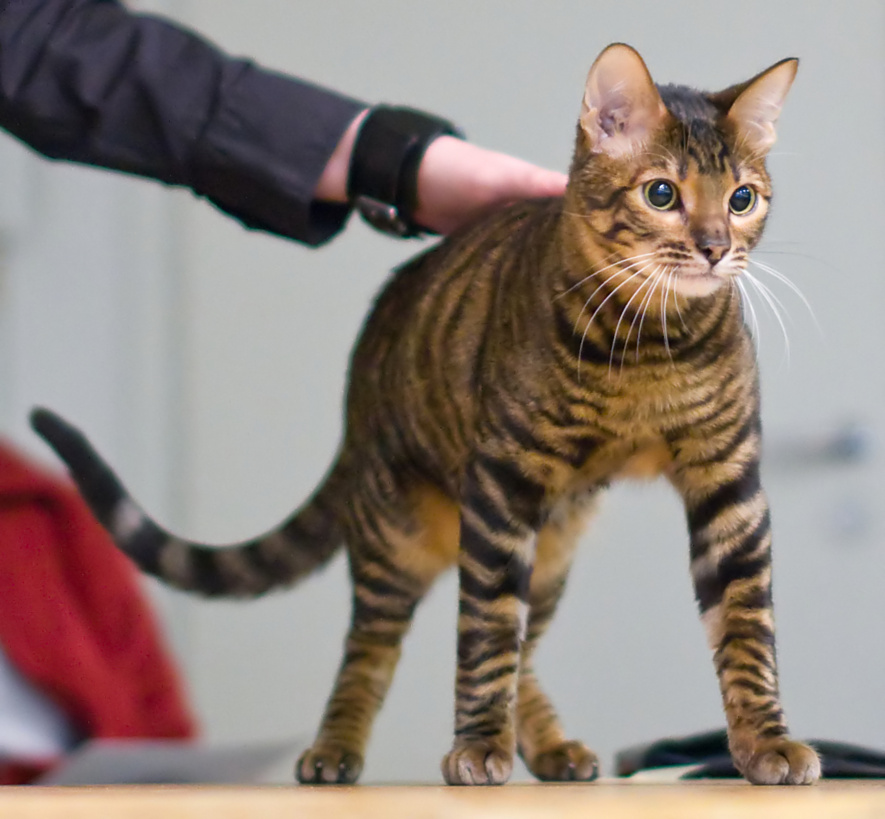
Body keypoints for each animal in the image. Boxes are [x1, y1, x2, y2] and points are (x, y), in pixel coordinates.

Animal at [34, 46, 820, 788]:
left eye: (742, 198)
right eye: (662, 193)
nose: (716, 248)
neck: (653, 343)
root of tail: (356, 391)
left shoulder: (727, 476)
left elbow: (747, 626)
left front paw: (765, 743)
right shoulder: (502, 481)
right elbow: (485, 634)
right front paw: (477, 745)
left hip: (552, 550)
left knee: (527, 644)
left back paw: (549, 745)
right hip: (399, 535)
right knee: (374, 648)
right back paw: (335, 747)